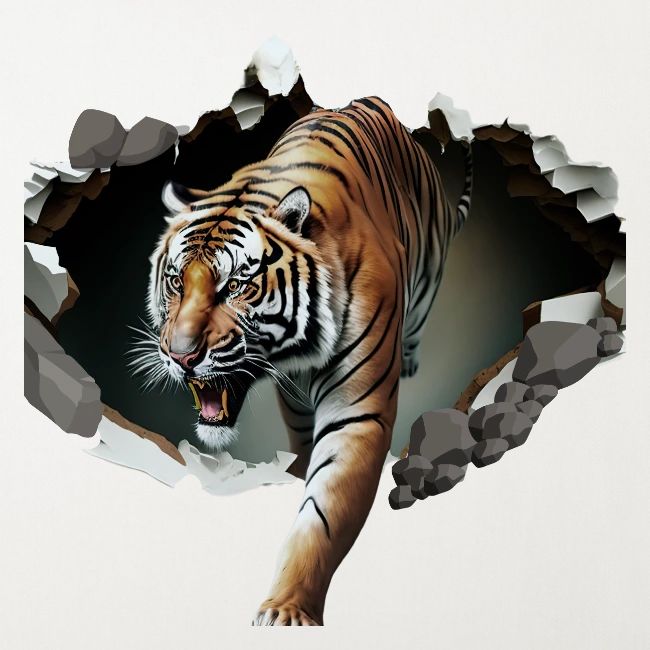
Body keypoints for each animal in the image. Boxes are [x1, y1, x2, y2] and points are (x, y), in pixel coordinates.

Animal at [144, 96, 472, 625]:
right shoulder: (296, 406)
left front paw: (286, 609)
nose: (181, 354)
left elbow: (323, 513)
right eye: (176, 281)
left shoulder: (356, 415)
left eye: (235, 286)